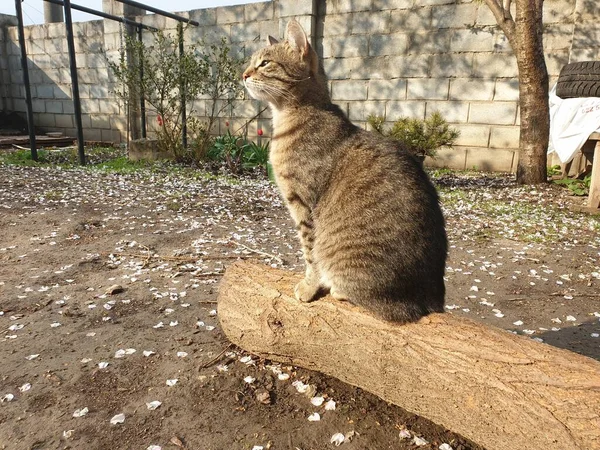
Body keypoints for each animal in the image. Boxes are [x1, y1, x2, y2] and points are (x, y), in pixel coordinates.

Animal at [243, 20, 446, 324]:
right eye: (251, 62)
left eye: (264, 63)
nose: (243, 74)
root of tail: (432, 297)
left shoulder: (303, 205)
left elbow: (310, 253)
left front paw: (308, 287)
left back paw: (338, 288)